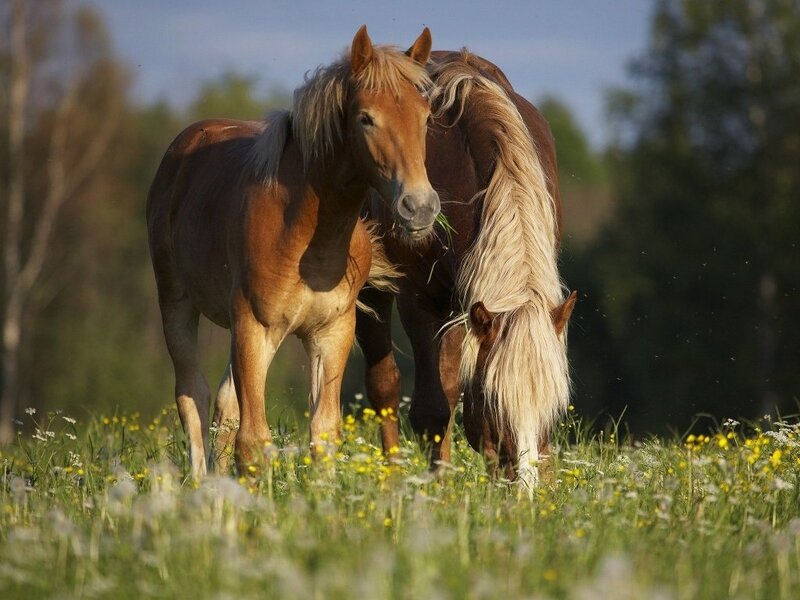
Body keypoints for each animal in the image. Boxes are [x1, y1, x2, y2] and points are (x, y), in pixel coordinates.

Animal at [147, 26, 439, 479]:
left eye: (426, 117)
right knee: (192, 395)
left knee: (224, 404)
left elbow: (323, 433)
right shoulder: (254, 326)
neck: (305, 235)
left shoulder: (331, 333)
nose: (420, 206)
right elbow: (253, 441)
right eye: (366, 118)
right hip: (178, 303)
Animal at [356, 50, 576, 486]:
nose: (524, 488)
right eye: (494, 400)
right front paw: (438, 489)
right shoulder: (420, 301)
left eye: (554, 405)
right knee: (385, 385)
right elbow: (432, 410)